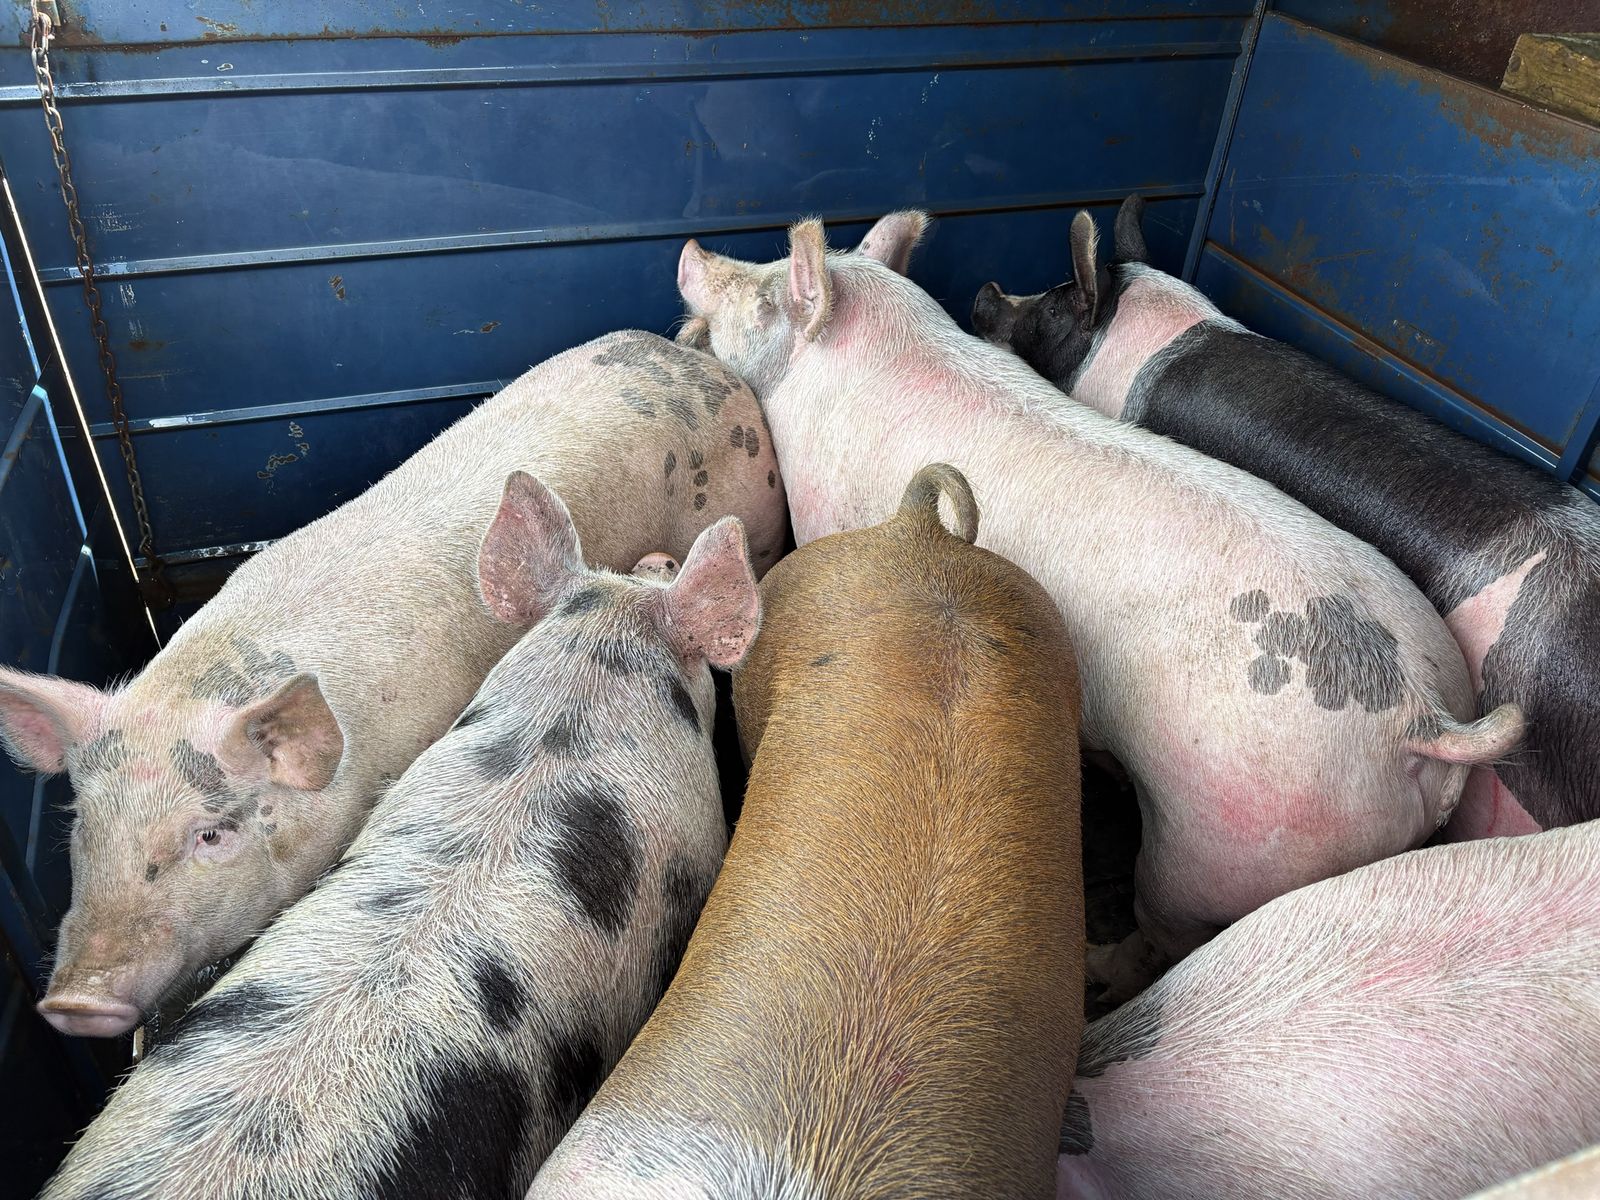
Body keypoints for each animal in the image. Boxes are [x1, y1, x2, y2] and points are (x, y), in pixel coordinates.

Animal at [675, 212, 1524, 1001]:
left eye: (766, 295)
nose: (692, 248)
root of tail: (1421, 717)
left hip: (1227, 840)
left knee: (1162, 931)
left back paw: (1098, 967)